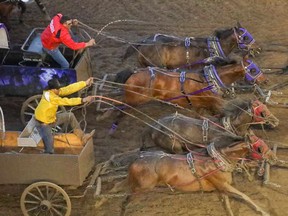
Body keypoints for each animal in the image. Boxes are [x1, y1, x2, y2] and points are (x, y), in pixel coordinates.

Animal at [99, 134, 276, 215]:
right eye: (259, 147)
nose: (273, 157)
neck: (216, 160)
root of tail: (137, 159)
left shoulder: (222, 189)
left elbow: (228, 206)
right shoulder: (224, 186)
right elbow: (245, 196)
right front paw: (264, 211)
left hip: (135, 184)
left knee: (117, 188)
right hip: (141, 189)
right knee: (125, 201)